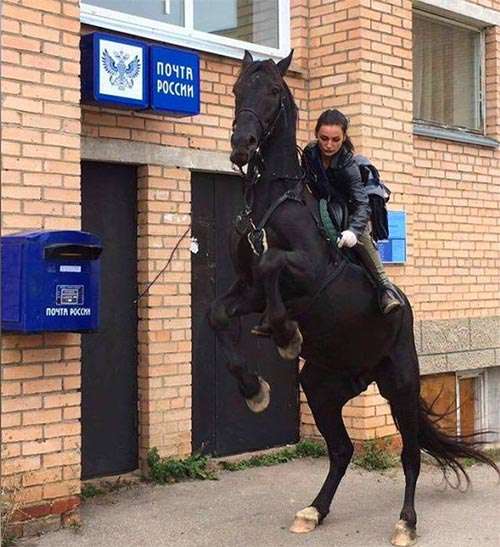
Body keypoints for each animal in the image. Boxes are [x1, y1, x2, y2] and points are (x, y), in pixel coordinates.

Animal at [207, 49, 496, 544]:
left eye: (272, 92)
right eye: (237, 89)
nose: (242, 146)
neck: (273, 204)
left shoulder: (306, 272)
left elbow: (271, 263)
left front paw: (285, 335)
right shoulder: (249, 292)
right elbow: (219, 314)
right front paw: (254, 388)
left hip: (400, 382)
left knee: (410, 454)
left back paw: (406, 522)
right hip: (324, 387)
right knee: (341, 450)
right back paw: (314, 511)